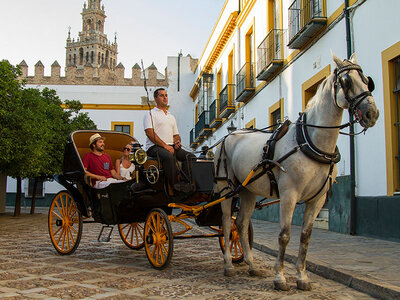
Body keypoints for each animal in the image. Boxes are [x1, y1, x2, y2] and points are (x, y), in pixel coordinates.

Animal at [214, 53, 380, 290]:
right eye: (346, 81)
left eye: (367, 81)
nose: (371, 113)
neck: (309, 141)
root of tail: (228, 135)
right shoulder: (289, 195)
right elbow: (284, 235)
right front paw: (280, 277)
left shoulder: (318, 199)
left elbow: (305, 237)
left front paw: (302, 277)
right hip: (226, 189)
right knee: (227, 223)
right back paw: (228, 264)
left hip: (248, 191)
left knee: (242, 224)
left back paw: (252, 265)